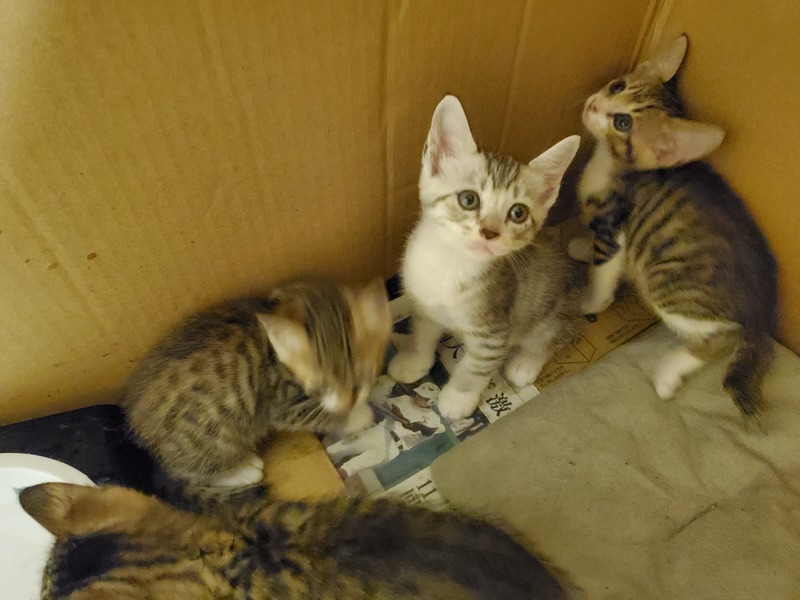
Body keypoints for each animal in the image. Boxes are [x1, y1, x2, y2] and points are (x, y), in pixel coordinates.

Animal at [122, 278, 391, 488]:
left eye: (363, 376)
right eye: (321, 385)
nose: (350, 401)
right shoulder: (280, 403)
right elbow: (316, 414)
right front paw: (358, 416)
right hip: (214, 434)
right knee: (190, 473)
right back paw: (243, 471)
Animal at [388, 94, 585, 420]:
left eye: (518, 213)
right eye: (469, 199)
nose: (489, 232)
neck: (451, 264)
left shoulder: (494, 331)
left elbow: (475, 367)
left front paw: (457, 399)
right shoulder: (425, 305)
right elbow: (422, 335)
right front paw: (414, 361)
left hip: (553, 310)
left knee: (554, 336)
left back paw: (525, 362)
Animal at [570, 34, 778, 415]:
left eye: (622, 123)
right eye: (617, 85)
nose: (594, 104)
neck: (611, 163)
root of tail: (763, 314)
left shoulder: (614, 229)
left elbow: (604, 273)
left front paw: (591, 302)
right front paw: (579, 245)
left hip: (669, 283)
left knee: (724, 336)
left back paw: (669, 376)